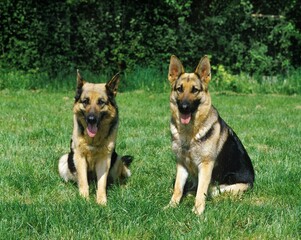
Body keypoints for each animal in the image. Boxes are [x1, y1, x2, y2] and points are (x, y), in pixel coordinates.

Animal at [59, 70, 132, 205]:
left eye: (101, 102)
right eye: (85, 101)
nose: (91, 119)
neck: (93, 140)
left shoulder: (104, 160)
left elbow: (102, 183)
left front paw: (101, 201)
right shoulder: (80, 157)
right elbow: (83, 181)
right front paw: (84, 199)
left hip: (117, 159)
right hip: (64, 159)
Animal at [166, 55, 253, 215]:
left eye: (195, 90)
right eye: (179, 89)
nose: (184, 108)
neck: (190, 132)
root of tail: (253, 181)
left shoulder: (206, 166)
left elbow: (201, 192)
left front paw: (198, 212)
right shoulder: (181, 164)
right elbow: (178, 188)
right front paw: (172, 206)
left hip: (224, 187)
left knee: (211, 192)